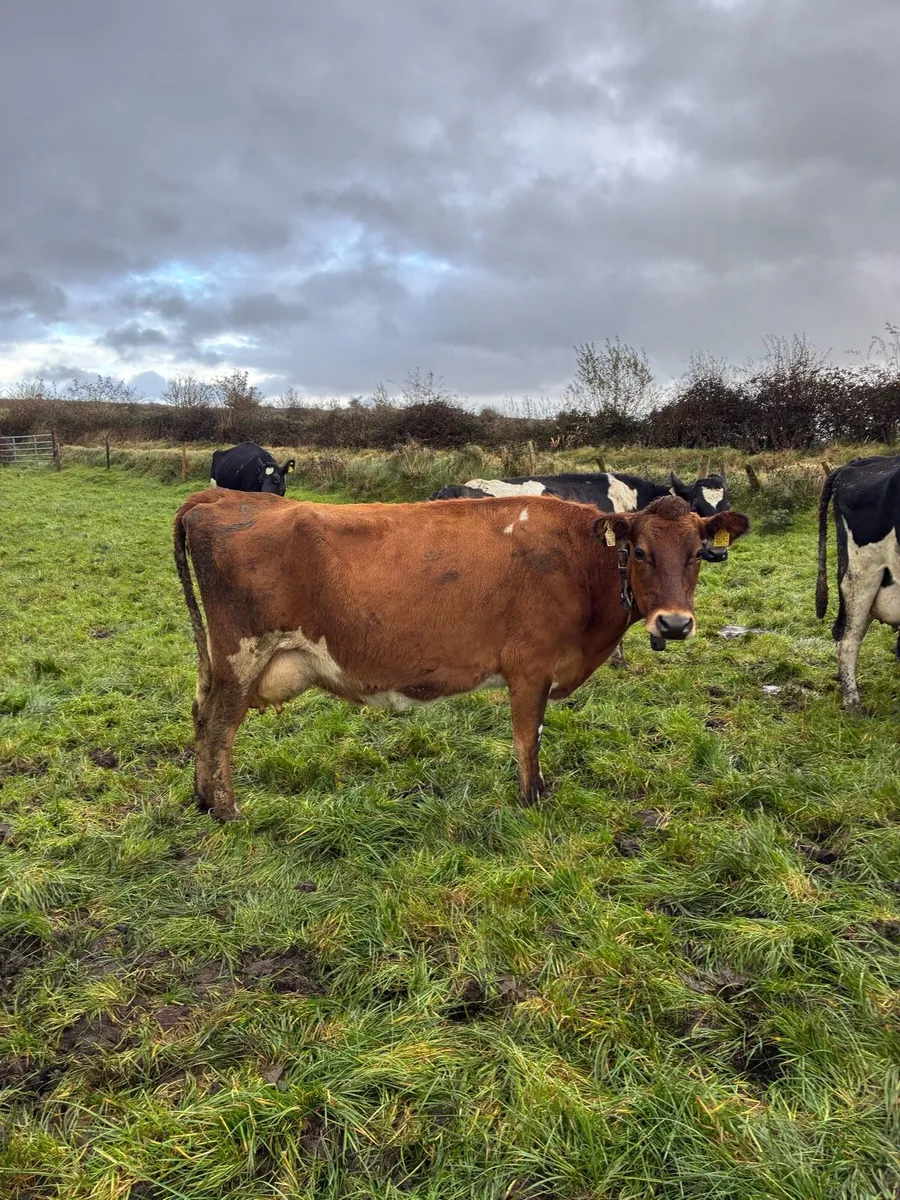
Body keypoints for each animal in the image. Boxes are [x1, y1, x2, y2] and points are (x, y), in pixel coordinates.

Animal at [174, 489, 749, 821]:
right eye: (642, 552)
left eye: (698, 554)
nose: (673, 624)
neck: (579, 562)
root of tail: (218, 497)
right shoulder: (530, 667)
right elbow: (527, 740)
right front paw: (531, 801)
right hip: (242, 655)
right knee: (220, 727)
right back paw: (227, 810)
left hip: (218, 662)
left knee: (201, 715)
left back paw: (203, 801)